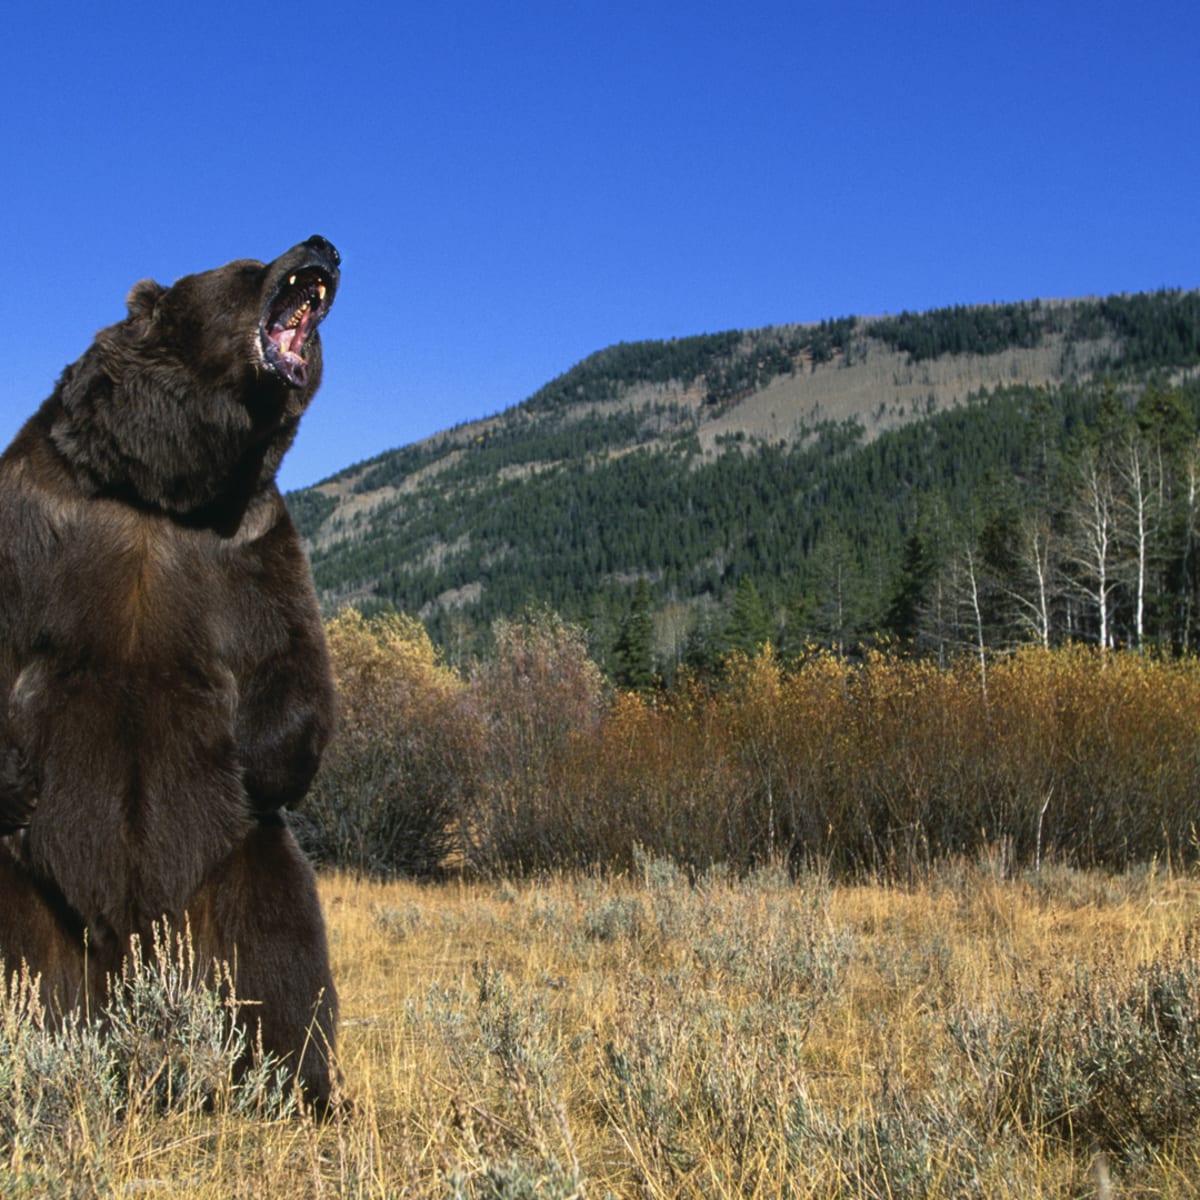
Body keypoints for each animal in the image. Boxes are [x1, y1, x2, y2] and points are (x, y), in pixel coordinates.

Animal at [0, 236, 343, 1111]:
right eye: (248, 266)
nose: (322, 245)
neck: (160, 488)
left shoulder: (251, 543)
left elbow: (290, 656)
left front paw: (266, 763)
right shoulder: (36, 512)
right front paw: (13, 771)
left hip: (233, 871)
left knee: (282, 961)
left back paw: (302, 1089)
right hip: (21, 878)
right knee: (17, 969)